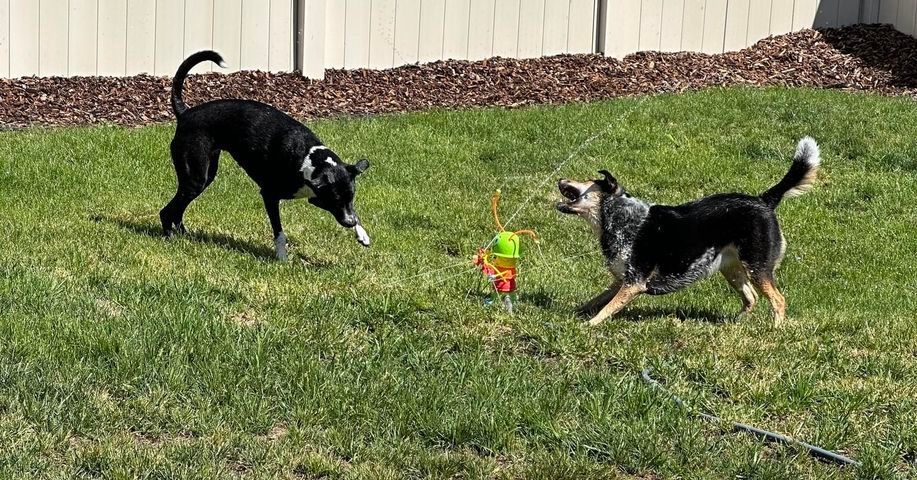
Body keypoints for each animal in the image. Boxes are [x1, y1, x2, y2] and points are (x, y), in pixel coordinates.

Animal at [160, 51, 368, 260]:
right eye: (335, 199)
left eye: (351, 197)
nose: (349, 222)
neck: (306, 159)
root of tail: (186, 113)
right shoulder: (270, 195)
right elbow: (279, 233)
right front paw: (282, 258)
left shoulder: (315, 196)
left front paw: (362, 233)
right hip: (195, 179)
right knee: (167, 212)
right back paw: (171, 237)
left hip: (205, 175)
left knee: (177, 211)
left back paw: (185, 236)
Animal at [556, 137, 820, 328]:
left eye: (588, 179)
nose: (559, 178)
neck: (622, 217)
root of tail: (764, 200)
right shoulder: (622, 280)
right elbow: (598, 300)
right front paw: (574, 313)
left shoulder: (634, 283)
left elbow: (607, 308)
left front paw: (589, 325)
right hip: (731, 268)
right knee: (751, 297)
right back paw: (736, 323)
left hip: (757, 266)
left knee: (778, 300)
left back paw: (775, 329)